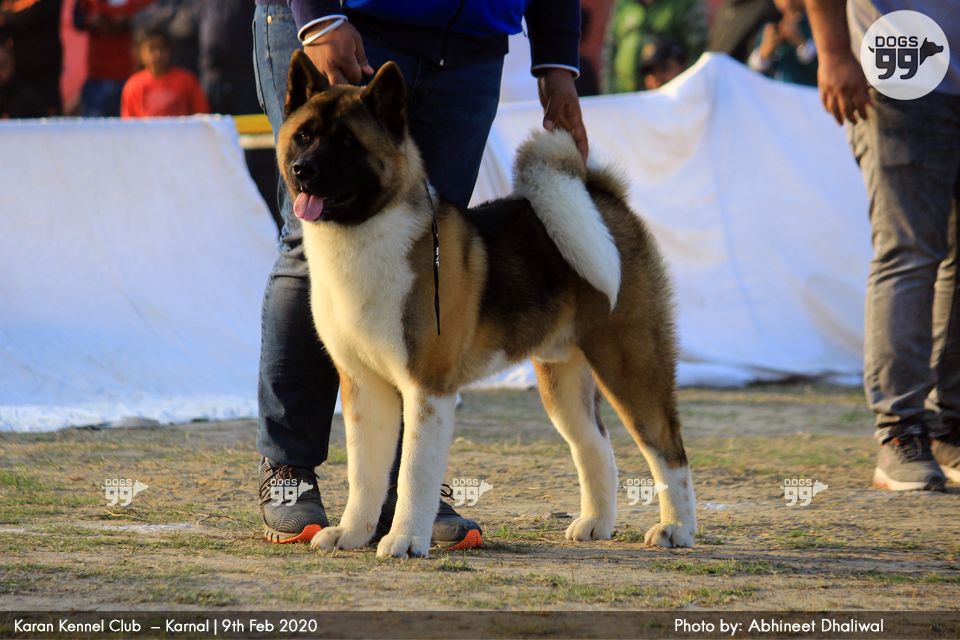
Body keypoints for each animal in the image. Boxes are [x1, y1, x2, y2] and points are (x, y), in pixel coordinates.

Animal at [277, 50, 696, 558]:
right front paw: (352, 533)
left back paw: (677, 529)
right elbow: (365, 473)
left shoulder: (428, 387)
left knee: (667, 447)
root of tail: (602, 197)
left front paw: (405, 540)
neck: (363, 236)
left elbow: (414, 472)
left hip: (631, 362)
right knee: (595, 446)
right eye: (304, 135)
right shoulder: (364, 388)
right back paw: (597, 523)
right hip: (562, 379)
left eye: (345, 142)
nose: (304, 169)